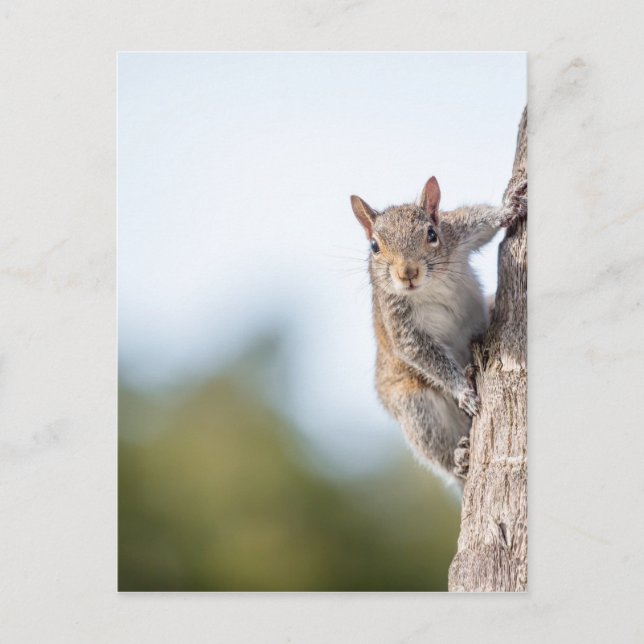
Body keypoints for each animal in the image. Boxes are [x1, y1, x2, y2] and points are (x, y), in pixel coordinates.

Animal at [350, 175, 527, 487]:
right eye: (374, 246)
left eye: (431, 234)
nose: (407, 273)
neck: (429, 285)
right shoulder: (397, 320)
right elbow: (421, 353)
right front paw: (463, 391)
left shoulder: (457, 232)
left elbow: (485, 221)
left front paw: (509, 206)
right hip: (416, 409)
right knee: (440, 453)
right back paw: (461, 460)